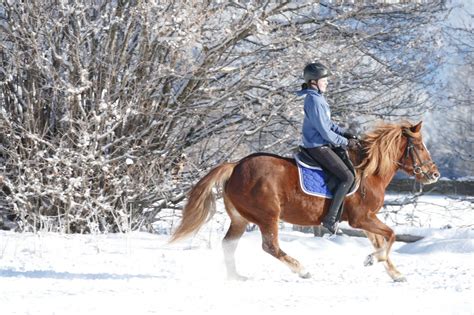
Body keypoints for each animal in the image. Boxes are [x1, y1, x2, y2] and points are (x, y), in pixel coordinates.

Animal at [170, 122, 440, 282]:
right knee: (270, 246)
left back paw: (236, 277)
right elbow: (391, 235)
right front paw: (373, 259)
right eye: (419, 146)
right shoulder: (361, 218)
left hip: (240, 218)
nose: (435, 174)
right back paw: (301, 269)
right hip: (267, 216)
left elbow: (381, 240)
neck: (369, 171)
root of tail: (236, 166)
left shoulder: (366, 220)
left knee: (228, 244)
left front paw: (394, 273)